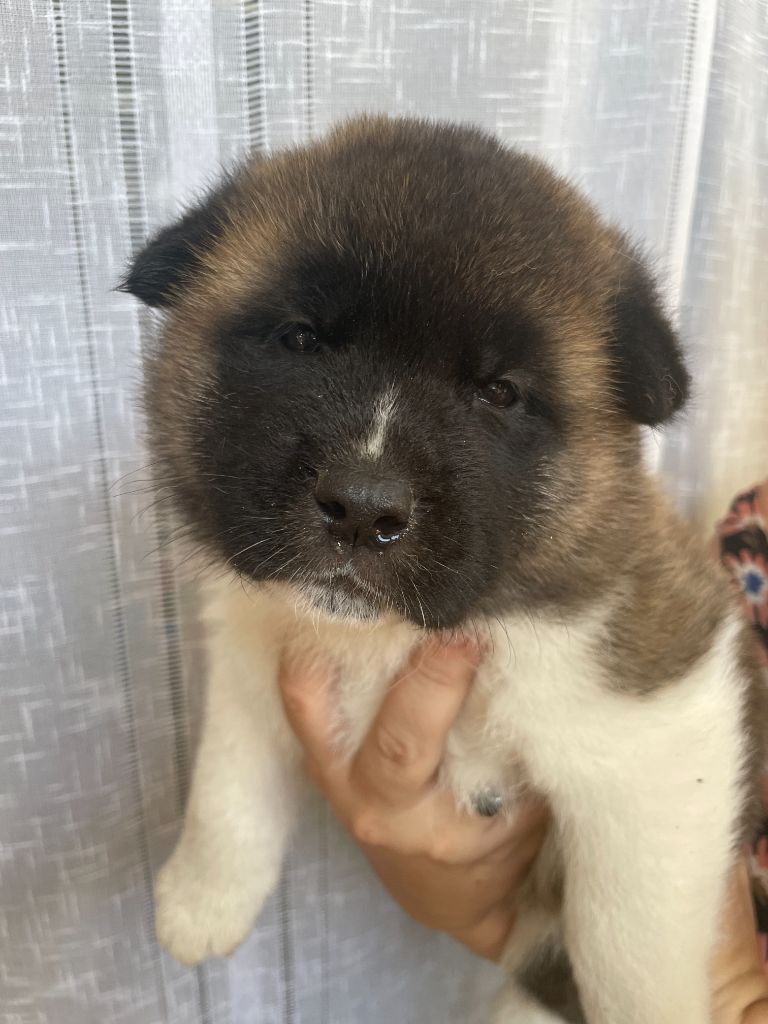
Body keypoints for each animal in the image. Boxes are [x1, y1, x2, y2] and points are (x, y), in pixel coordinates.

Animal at [123, 116, 766, 1023]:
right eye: (300, 339)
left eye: (498, 392)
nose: (363, 509)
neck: (388, 636)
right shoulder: (253, 646)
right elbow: (228, 778)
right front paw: (202, 896)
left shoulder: (659, 714)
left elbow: (628, 942)